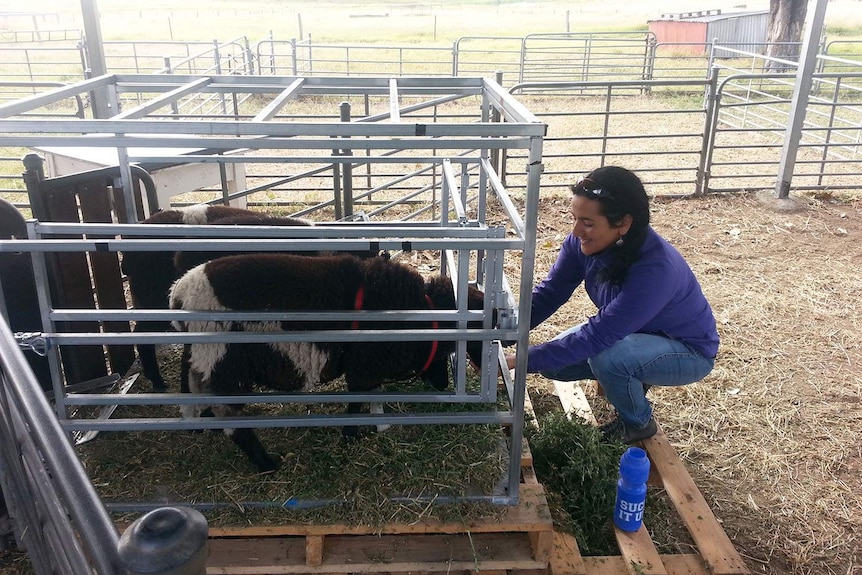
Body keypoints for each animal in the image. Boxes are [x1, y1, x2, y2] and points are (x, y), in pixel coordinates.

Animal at [169, 254, 486, 474]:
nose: (443, 384)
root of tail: (179, 293)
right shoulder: (364, 364)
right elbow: (358, 399)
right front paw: (350, 435)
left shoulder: (369, 364)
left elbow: (373, 394)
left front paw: (377, 424)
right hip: (224, 361)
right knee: (232, 422)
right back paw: (266, 464)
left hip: (203, 357)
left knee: (194, 388)